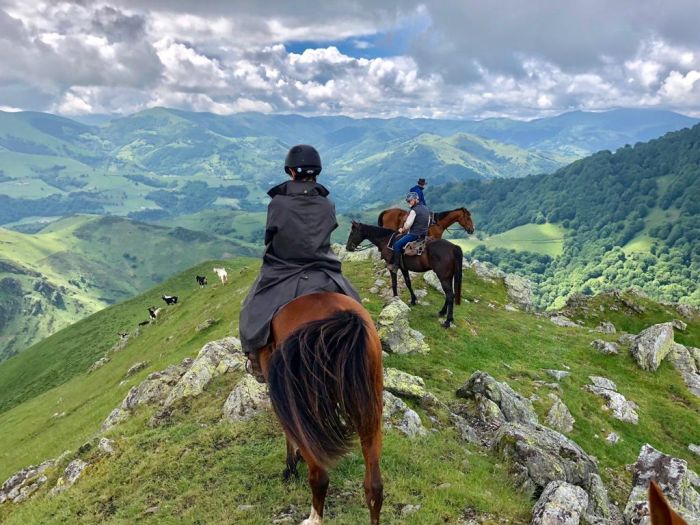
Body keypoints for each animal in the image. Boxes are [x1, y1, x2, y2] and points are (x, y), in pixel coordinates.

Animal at [260, 290, 386, 524]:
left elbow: (288, 435)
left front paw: (290, 468)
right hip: (370, 408)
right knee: (374, 486)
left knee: (319, 477)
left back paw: (313, 518)